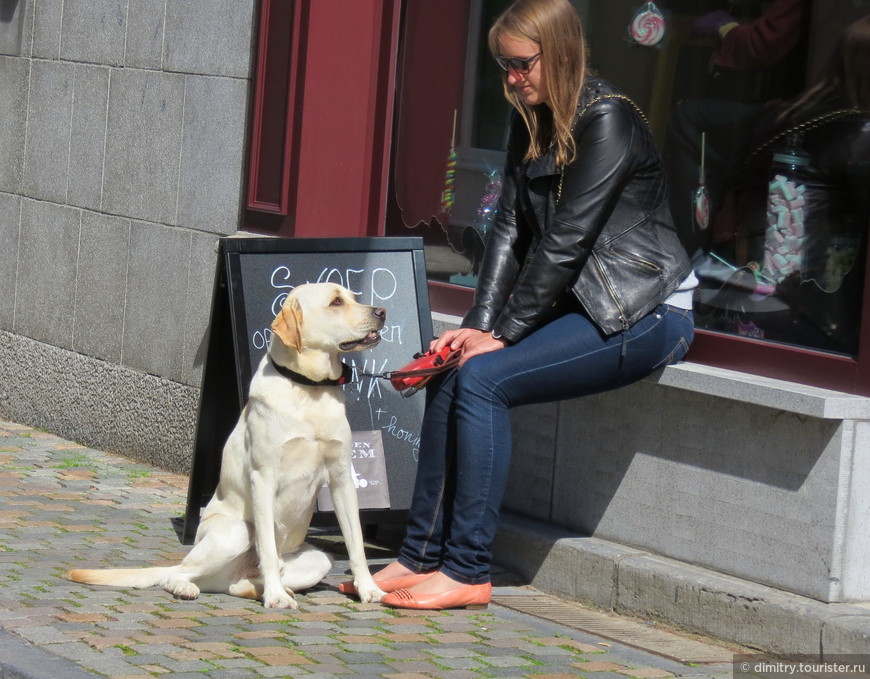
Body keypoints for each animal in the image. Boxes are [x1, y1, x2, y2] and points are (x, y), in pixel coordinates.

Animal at [70, 284, 390, 608]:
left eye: (353, 296)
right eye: (336, 302)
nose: (382, 311)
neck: (309, 390)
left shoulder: (341, 478)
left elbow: (356, 545)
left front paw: (368, 589)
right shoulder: (264, 477)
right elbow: (268, 547)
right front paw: (275, 596)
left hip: (318, 559)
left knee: (241, 584)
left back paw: (267, 589)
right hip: (235, 532)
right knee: (180, 574)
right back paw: (199, 588)